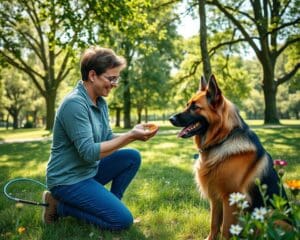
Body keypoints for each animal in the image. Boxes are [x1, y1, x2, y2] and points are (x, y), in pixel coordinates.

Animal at [170, 74, 288, 238]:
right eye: (187, 104)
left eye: (194, 107)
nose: (170, 119)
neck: (222, 139)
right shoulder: (215, 199)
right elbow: (214, 224)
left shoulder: (230, 199)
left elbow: (226, 229)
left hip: (272, 216)